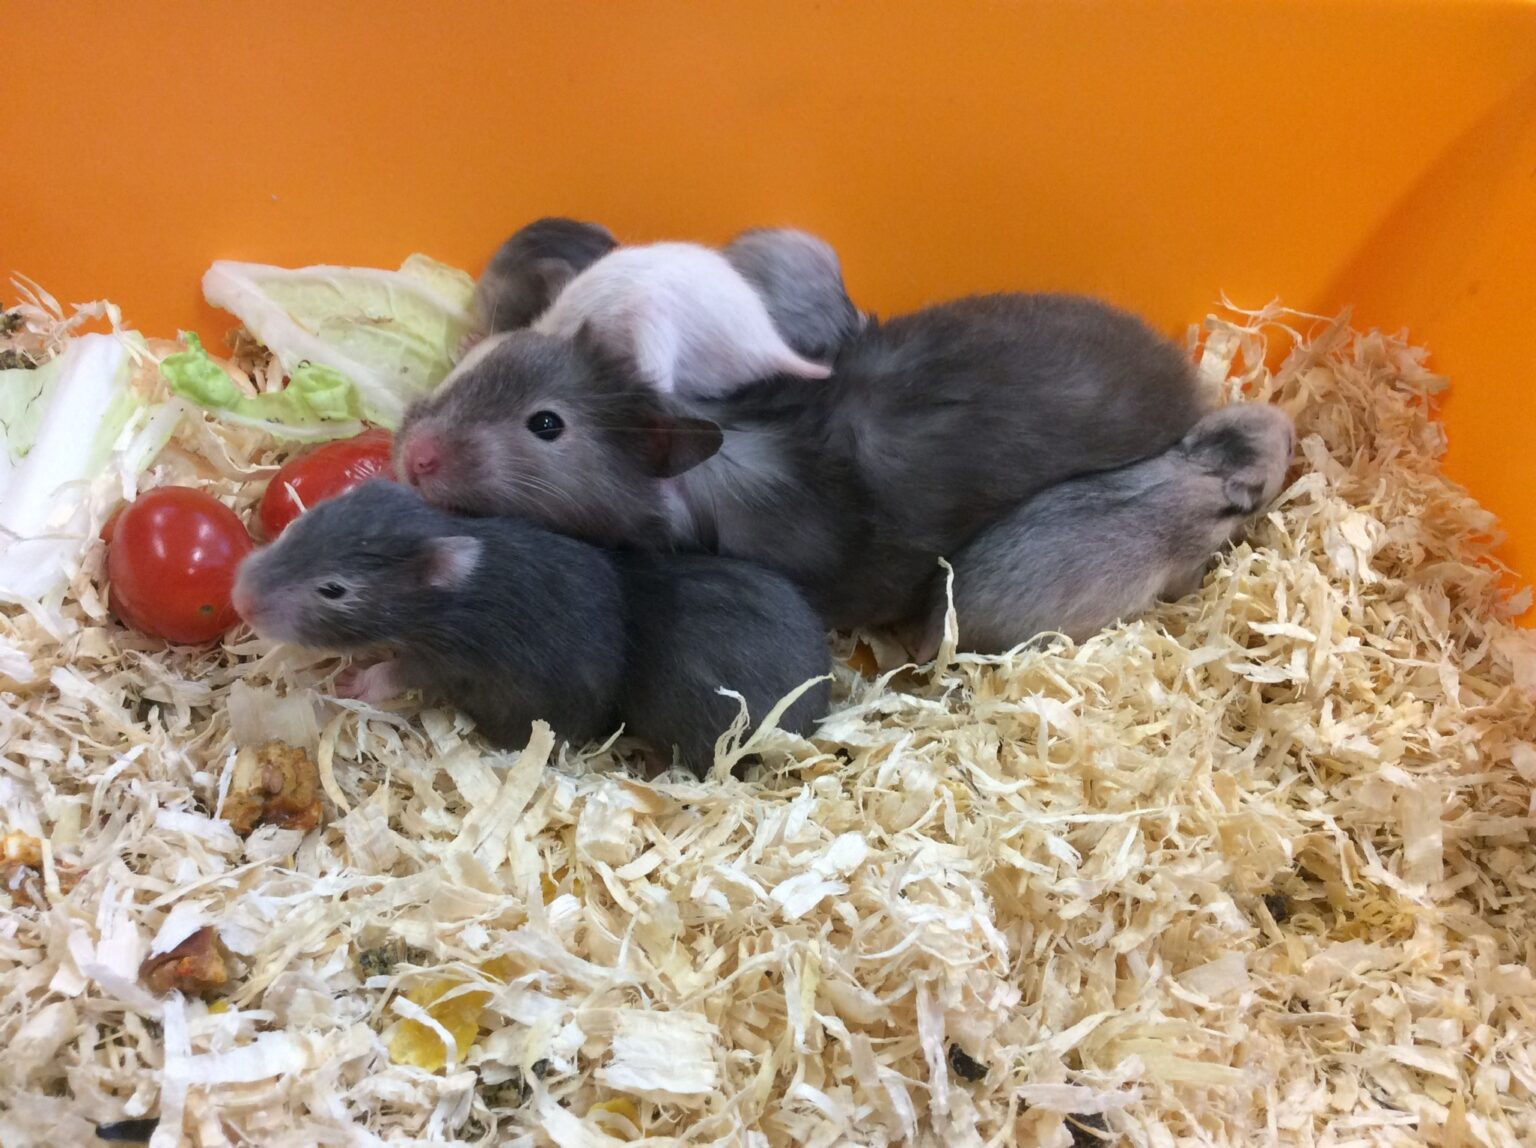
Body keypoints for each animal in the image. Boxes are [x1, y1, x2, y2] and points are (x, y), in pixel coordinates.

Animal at [232, 479, 830, 774]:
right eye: (302, 525)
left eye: (334, 590)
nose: (240, 598)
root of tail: (813, 719)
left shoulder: (445, 657)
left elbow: (398, 672)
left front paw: (354, 681)